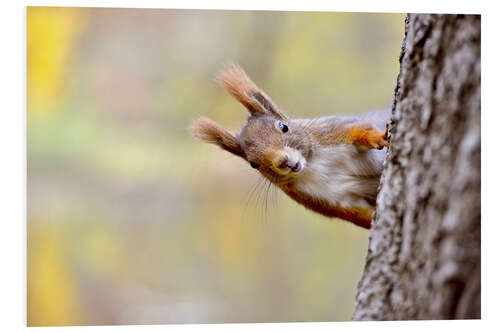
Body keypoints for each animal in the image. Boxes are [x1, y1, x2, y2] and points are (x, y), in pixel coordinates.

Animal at [189, 63, 388, 228]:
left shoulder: (330, 131)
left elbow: (359, 129)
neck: (312, 165)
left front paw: (378, 137)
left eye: (284, 127)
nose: (283, 162)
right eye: (253, 164)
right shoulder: (325, 201)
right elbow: (356, 214)